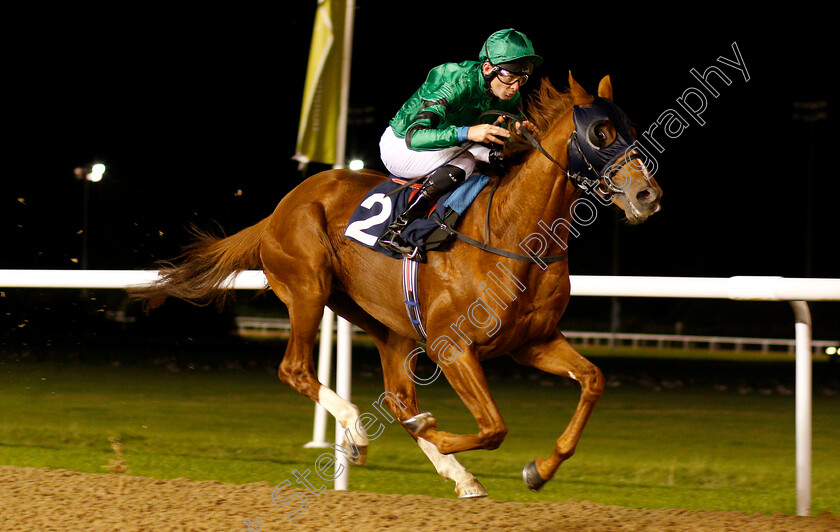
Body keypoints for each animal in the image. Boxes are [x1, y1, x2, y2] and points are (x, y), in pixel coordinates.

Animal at [130, 72, 664, 496]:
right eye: (600, 132)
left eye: (632, 131)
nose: (647, 195)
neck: (515, 235)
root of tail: (279, 209)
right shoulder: (453, 346)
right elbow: (493, 426)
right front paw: (440, 435)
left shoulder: (532, 341)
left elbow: (592, 380)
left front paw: (540, 470)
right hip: (308, 286)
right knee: (297, 369)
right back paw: (356, 434)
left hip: (388, 323)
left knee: (398, 397)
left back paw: (454, 473)